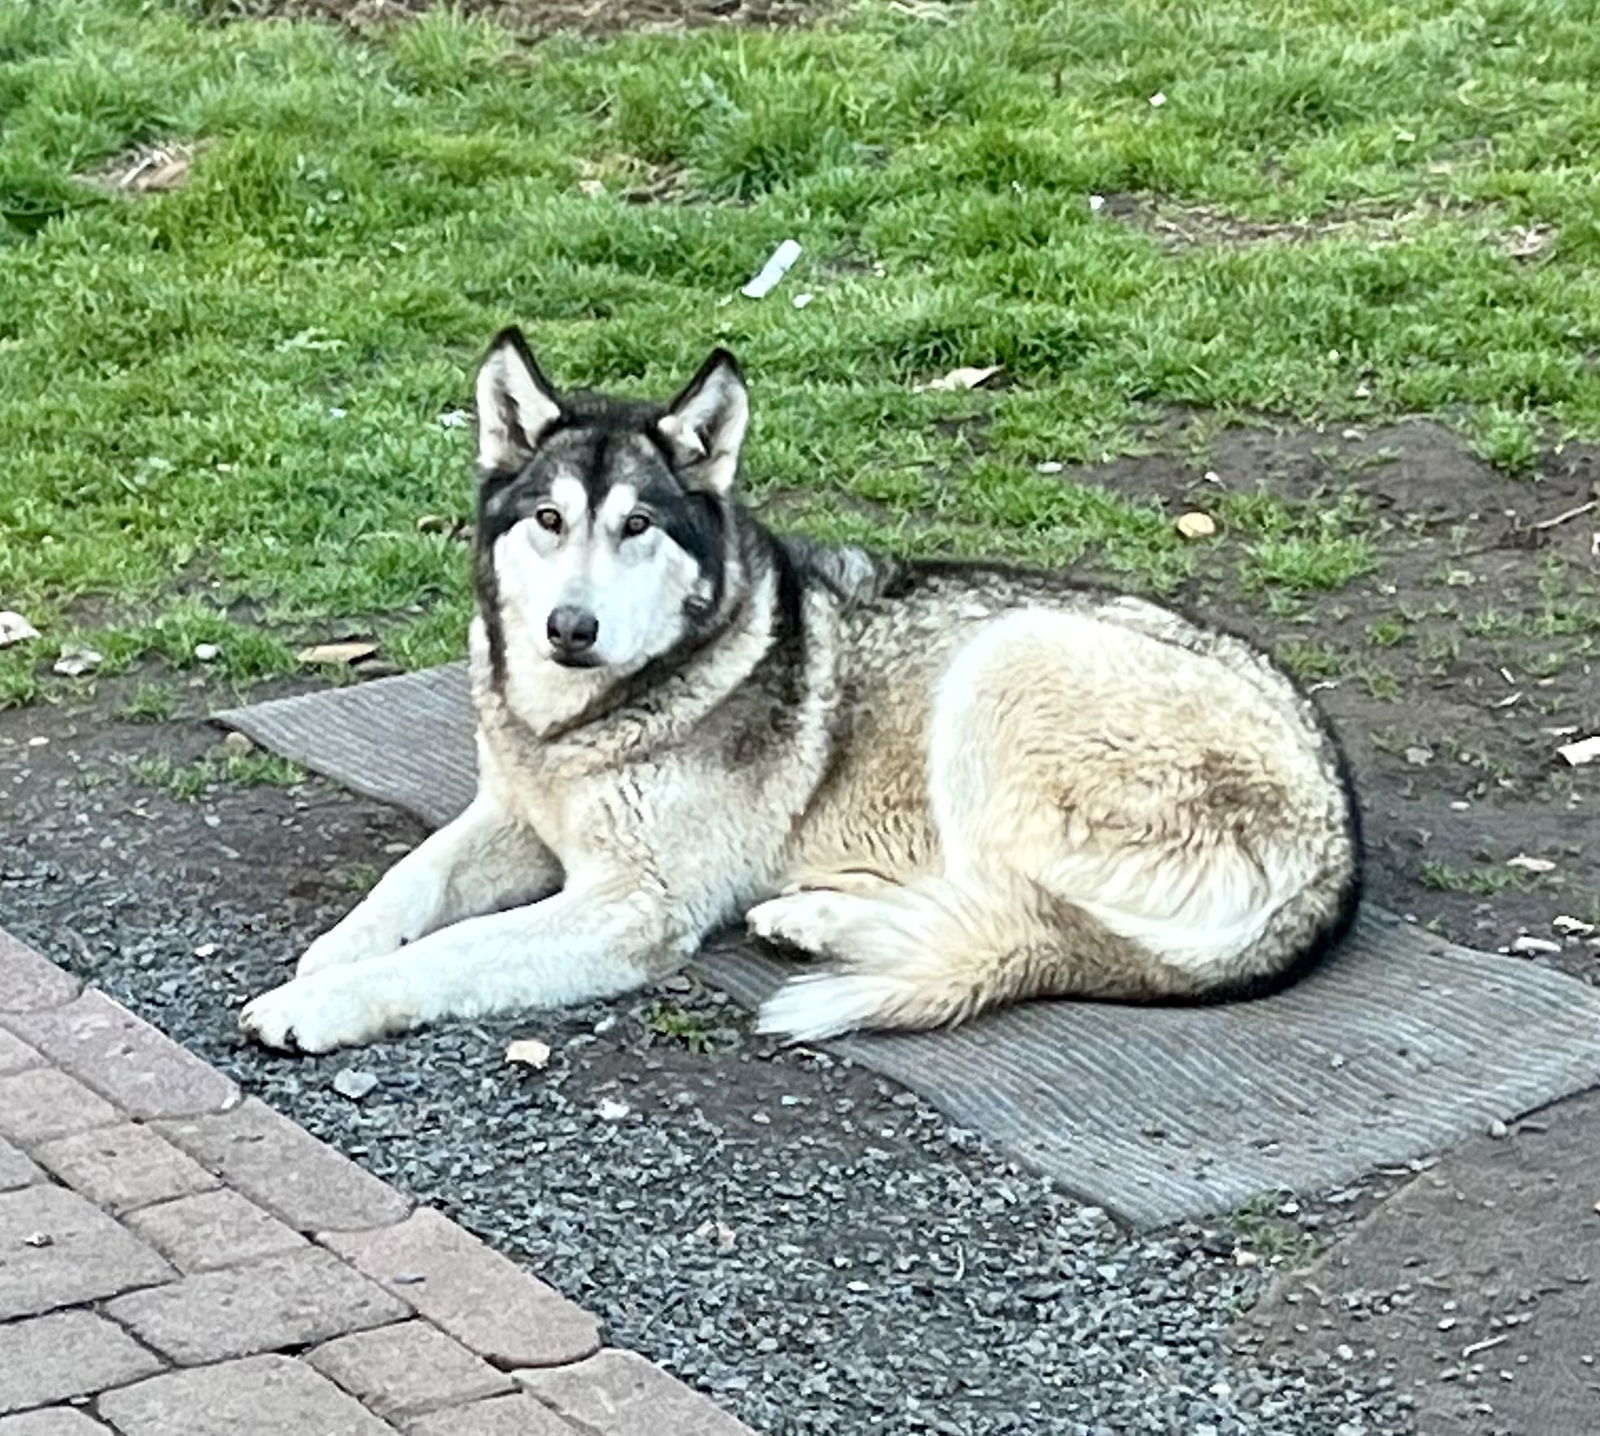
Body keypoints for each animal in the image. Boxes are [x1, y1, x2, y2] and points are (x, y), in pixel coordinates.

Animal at [240, 327, 1363, 1049]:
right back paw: (817, 916)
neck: (589, 720)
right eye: (548, 521)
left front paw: (327, 1004)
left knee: (1015, 918)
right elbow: (407, 883)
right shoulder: (511, 816)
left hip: (1007, 659)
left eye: (636, 526)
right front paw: (331, 953)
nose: (570, 629)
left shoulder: (629, 907)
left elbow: (453, 950)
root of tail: (1337, 852)